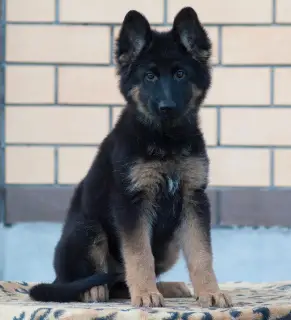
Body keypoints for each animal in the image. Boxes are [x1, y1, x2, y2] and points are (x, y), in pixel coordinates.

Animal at [29, 6, 233, 308]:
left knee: (120, 283)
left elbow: (201, 254)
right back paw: (93, 290)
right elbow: (138, 254)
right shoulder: (132, 202)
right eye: (149, 77)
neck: (165, 140)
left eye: (180, 74)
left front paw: (210, 292)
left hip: (170, 245)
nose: (166, 107)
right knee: (89, 279)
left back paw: (166, 287)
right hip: (88, 230)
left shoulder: (193, 199)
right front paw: (146, 294)